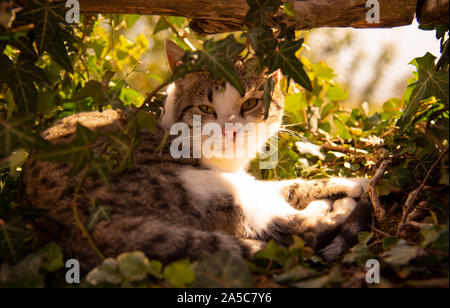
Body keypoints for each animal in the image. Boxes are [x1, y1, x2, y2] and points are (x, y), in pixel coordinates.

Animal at [20, 40, 372, 270]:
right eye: (205, 108)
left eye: (250, 103)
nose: (230, 129)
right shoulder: (226, 179)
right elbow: (293, 197)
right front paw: (352, 188)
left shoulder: (242, 176)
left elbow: (291, 185)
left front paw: (352, 182)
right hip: (209, 189)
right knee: (300, 229)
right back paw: (336, 208)